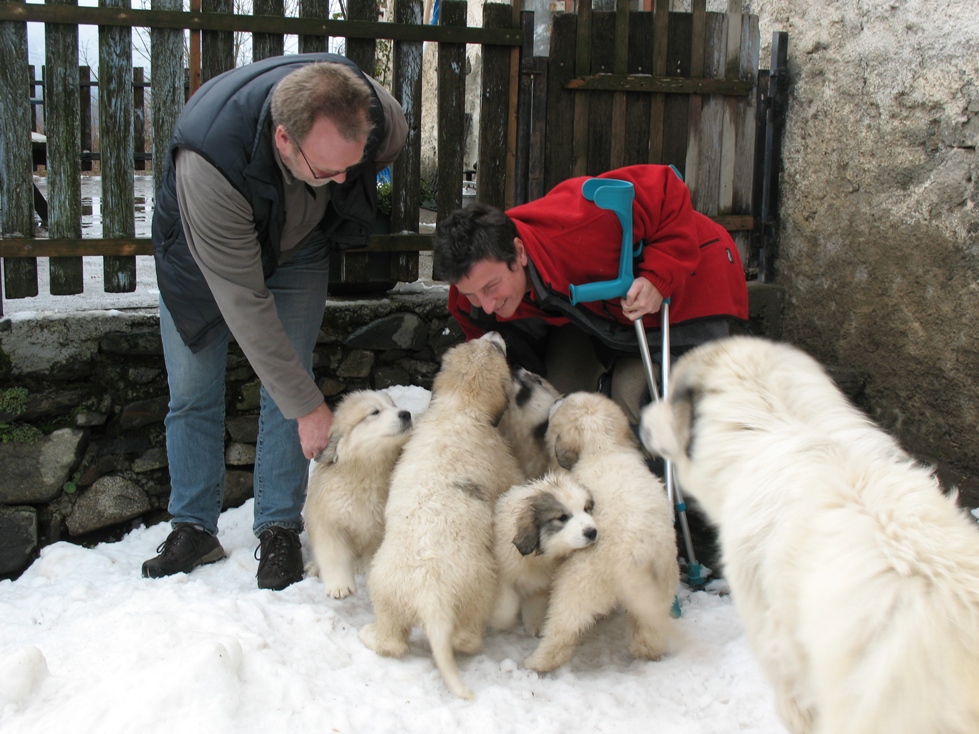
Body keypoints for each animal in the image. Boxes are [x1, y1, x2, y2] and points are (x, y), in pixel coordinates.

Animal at [306, 388, 414, 600]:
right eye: (374, 412)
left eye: (394, 406)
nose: (406, 414)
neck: (367, 471)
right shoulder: (329, 520)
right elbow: (333, 555)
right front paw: (339, 586)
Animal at [360, 334, 524, 700]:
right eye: (497, 350)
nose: (494, 333)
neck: (459, 409)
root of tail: (430, 596)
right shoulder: (504, 464)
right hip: (479, 587)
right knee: (465, 638)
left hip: (385, 592)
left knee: (393, 642)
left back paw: (370, 636)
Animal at [490, 472, 596, 640]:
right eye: (562, 517)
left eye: (587, 509)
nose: (592, 532)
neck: (538, 557)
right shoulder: (501, 573)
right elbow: (506, 605)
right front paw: (499, 622)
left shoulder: (541, 584)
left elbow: (536, 601)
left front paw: (536, 623)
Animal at [520, 394, 680, 676]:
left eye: (563, 405)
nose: (560, 396)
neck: (603, 448)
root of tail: (634, 559)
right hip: (662, 588)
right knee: (649, 635)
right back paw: (649, 653)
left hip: (575, 586)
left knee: (561, 634)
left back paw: (536, 663)